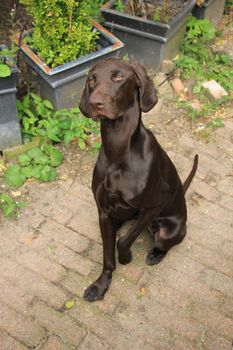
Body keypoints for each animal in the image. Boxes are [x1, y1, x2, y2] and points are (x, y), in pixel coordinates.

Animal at [79, 57, 198, 300]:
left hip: (168, 231)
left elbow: (123, 241)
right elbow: (107, 254)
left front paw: (126, 258)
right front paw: (101, 284)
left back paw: (155, 254)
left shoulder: (155, 205)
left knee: (164, 243)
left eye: (118, 76)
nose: (96, 103)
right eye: (91, 80)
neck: (118, 150)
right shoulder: (103, 212)